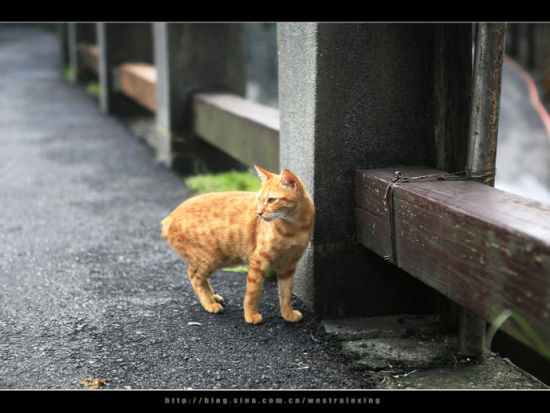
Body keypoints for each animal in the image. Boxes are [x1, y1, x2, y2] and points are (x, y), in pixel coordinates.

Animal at [162, 166, 314, 324]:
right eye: (259, 199)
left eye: (272, 200)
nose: (259, 213)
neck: (294, 227)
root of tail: (170, 218)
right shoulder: (258, 261)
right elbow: (252, 293)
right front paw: (250, 315)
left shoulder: (288, 266)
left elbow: (286, 293)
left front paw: (288, 314)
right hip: (210, 258)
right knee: (194, 276)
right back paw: (209, 303)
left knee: (199, 276)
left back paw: (212, 297)